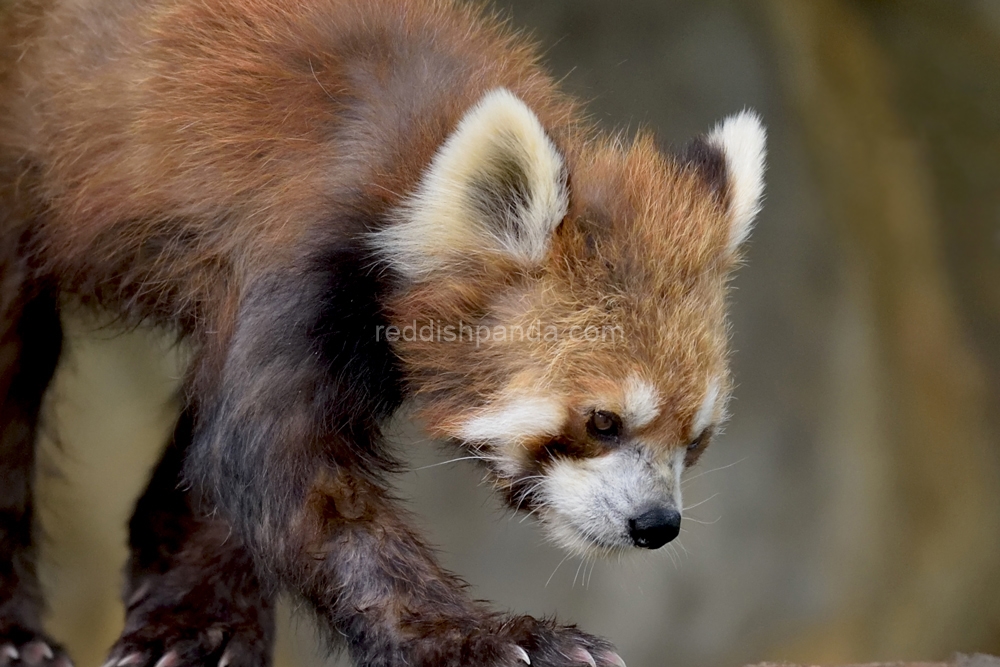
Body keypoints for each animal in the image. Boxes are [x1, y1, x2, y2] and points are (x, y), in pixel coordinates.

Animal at [0, 0, 764, 664]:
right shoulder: (297, 259)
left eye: (696, 440)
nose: (656, 523)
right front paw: (495, 641)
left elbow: (226, 465)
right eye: (602, 421)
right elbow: (288, 474)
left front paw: (199, 620)